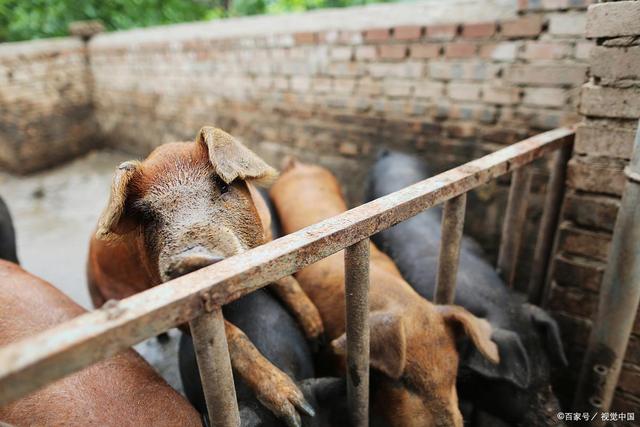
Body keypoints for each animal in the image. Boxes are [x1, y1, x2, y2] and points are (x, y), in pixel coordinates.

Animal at [87, 128, 322, 427]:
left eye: (222, 186)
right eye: (148, 216)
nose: (191, 259)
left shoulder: (267, 241)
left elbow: (286, 279)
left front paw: (317, 333)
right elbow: (232, 338)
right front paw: (297, 411)